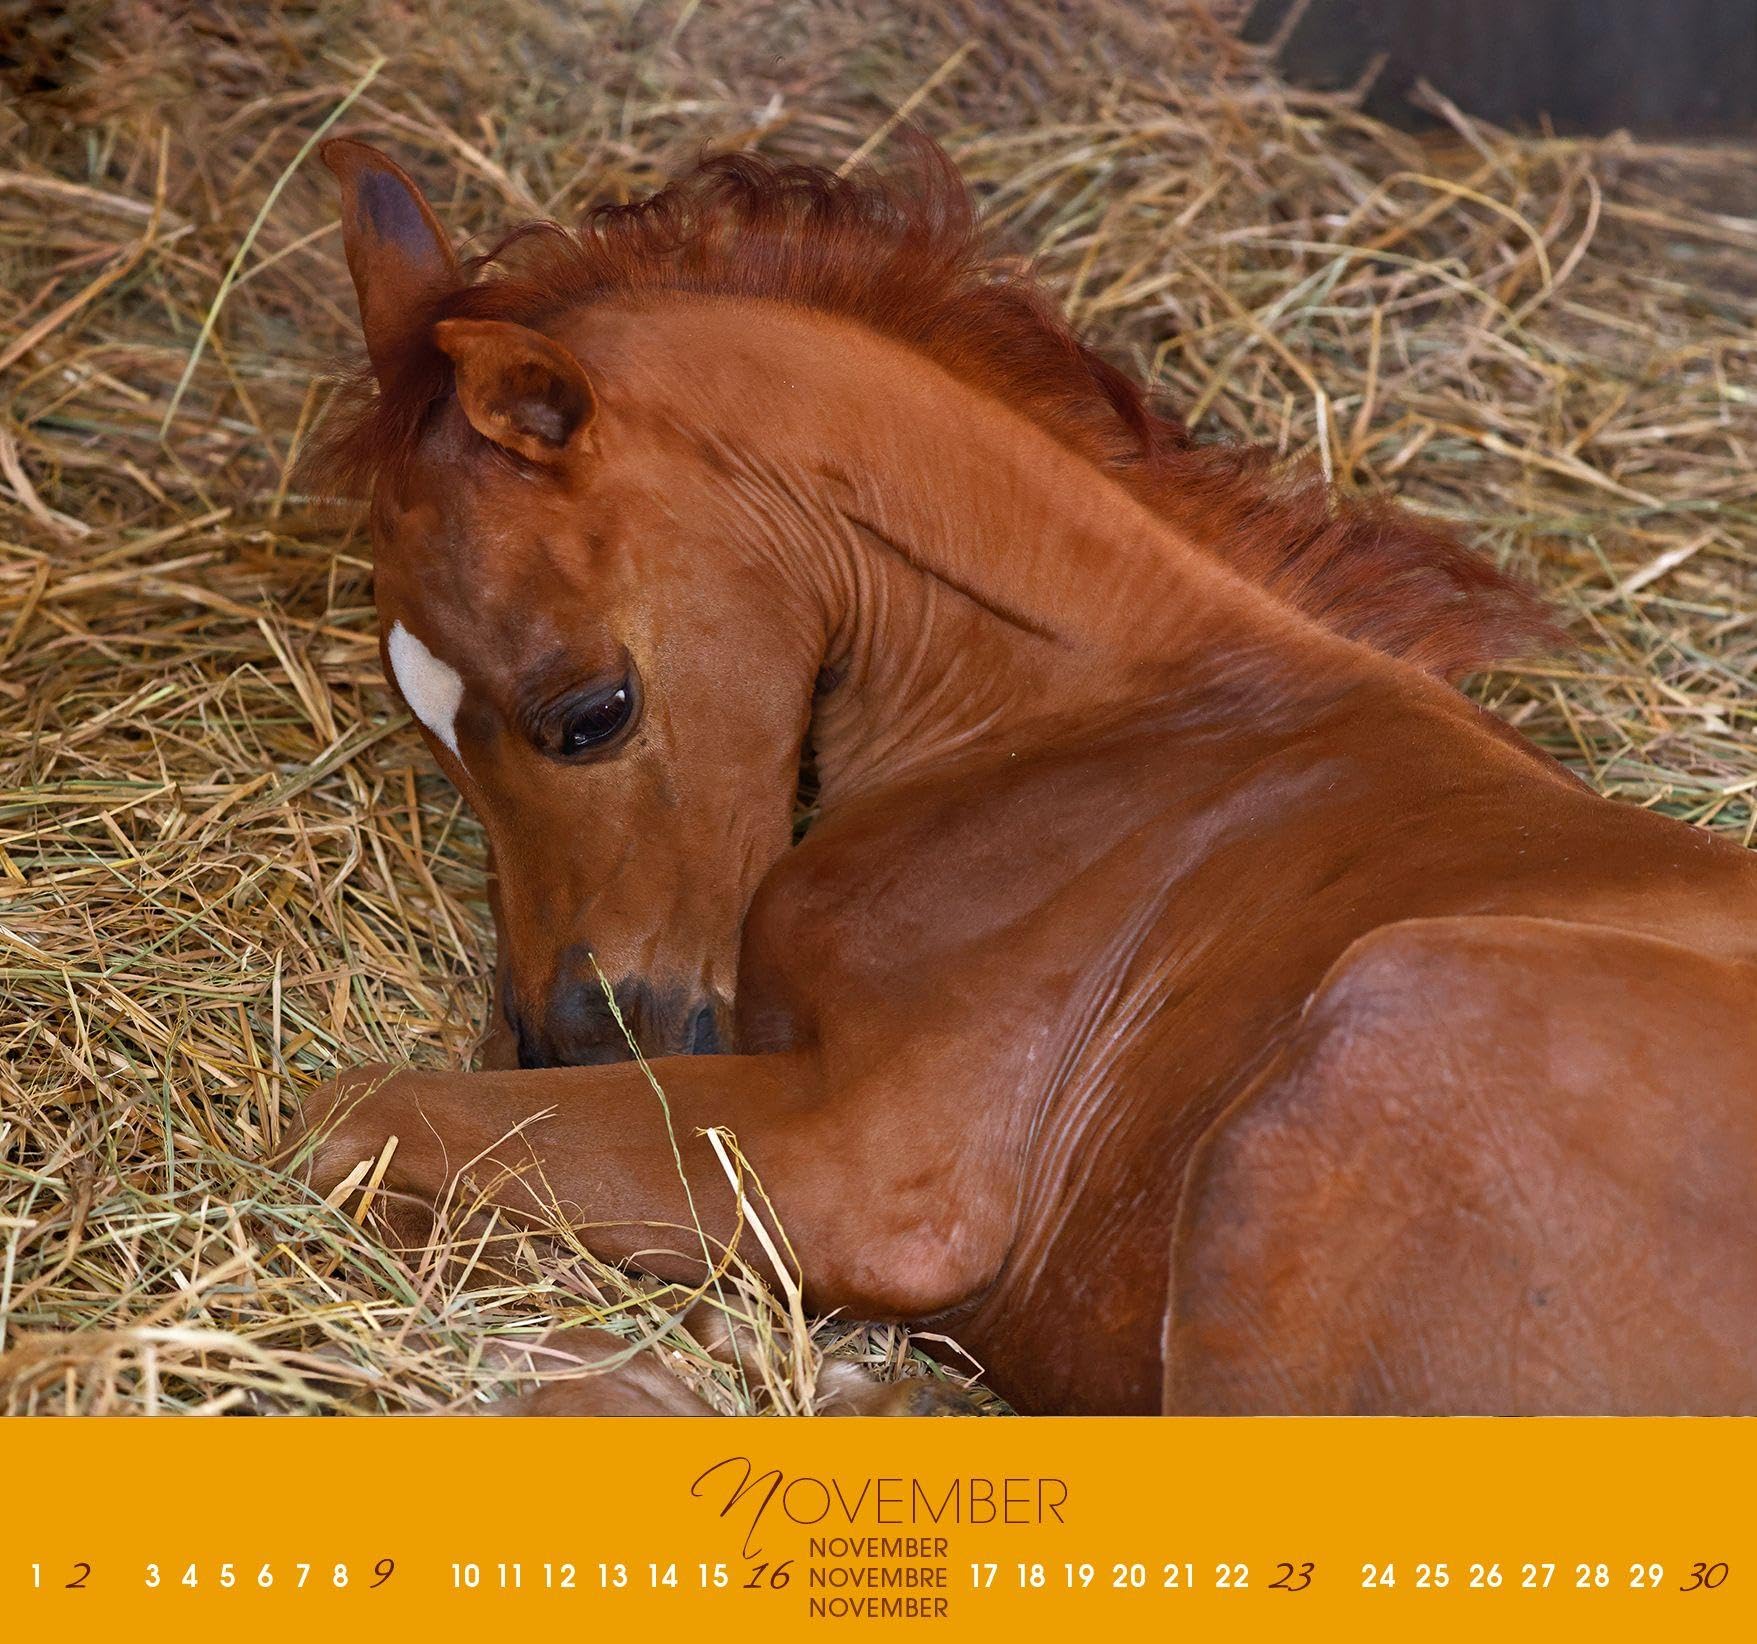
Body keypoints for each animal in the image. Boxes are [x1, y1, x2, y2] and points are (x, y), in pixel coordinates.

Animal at [291, 134, 1757, 1415]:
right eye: (423, 728)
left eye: (592, 713)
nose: (574, 1039)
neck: (1089, 718)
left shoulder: (874, 1169)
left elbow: (351, 1116)